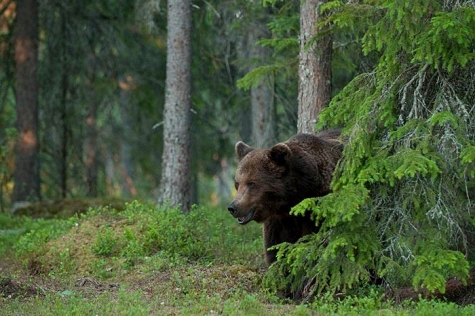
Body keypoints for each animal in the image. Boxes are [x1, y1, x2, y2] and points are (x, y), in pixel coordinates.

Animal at [229, 130, 344, 266]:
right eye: (237, 184)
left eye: (251, 183)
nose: (233, 207)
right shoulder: (278, 222)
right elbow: (277, 250)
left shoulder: (318, 208)